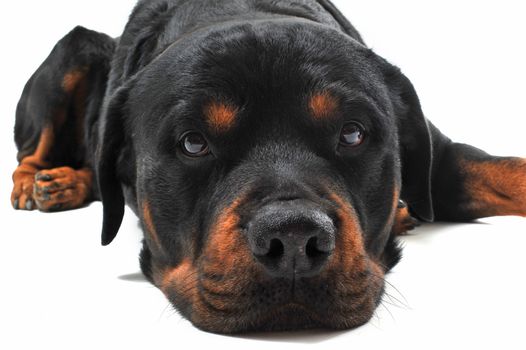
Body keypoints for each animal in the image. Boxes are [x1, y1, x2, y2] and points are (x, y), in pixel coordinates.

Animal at [11, 0, 526, 334]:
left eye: (353, 133)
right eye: (193, 143)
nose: (294, 239)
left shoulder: (445, 157)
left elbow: (508, 169)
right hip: (76, 50)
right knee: (31, 151)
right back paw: (43, 184)